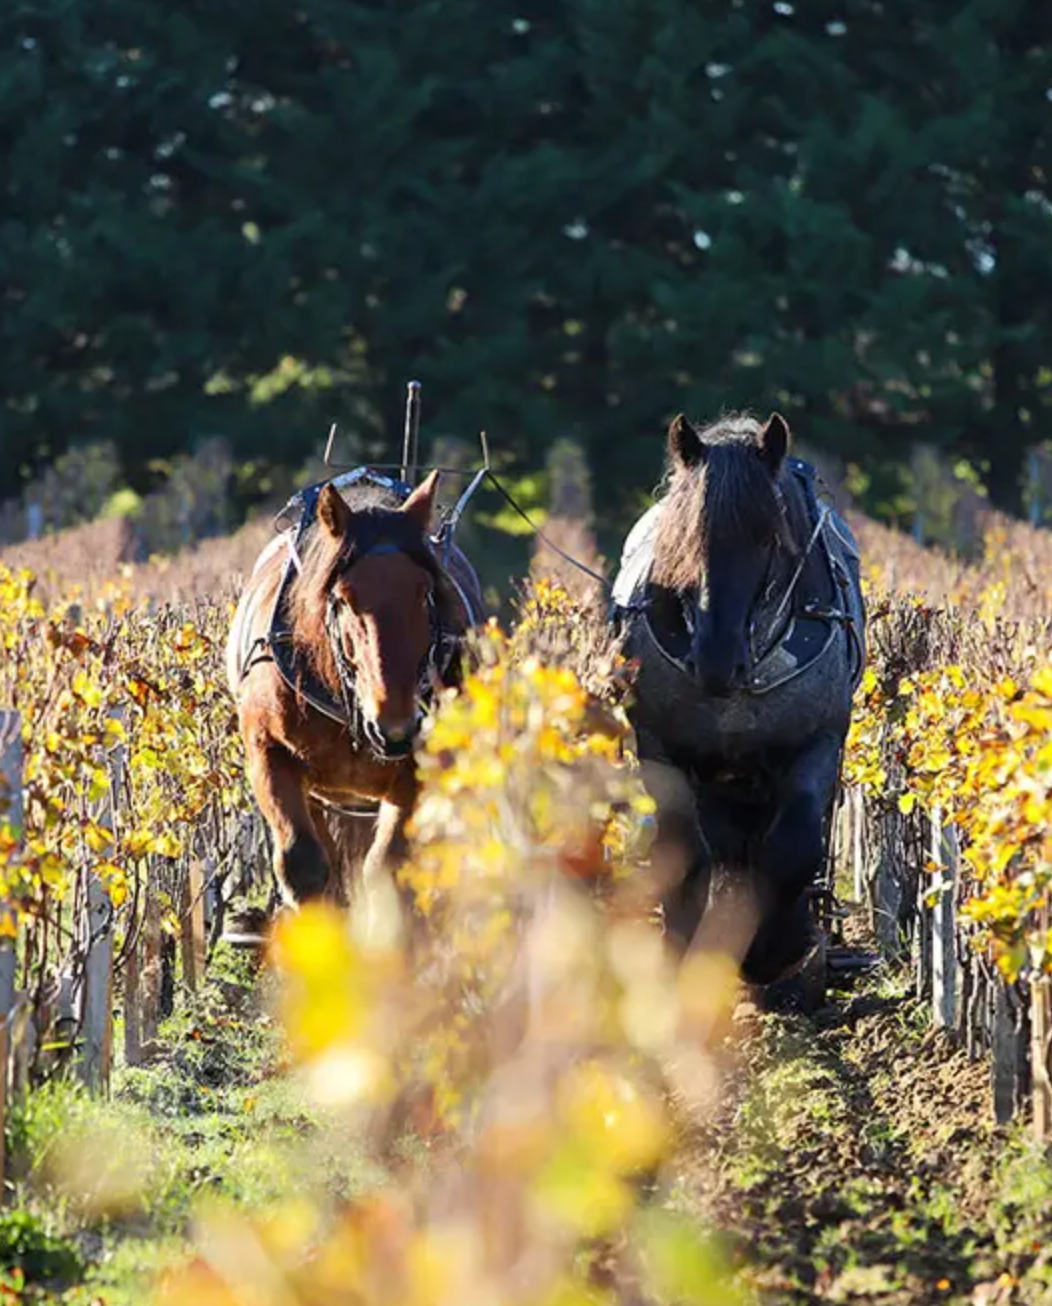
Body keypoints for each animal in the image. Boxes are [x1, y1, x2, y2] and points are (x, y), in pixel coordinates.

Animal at [228, 472, 482, 919]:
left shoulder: (418, 764)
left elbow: (389, 869)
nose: (394, 727)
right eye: (344, 599)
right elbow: (303, 863)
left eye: (424, 593)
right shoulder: (267, 750)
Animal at [613, 412, 866, 1003]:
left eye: (767, 537)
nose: (715, 658)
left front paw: (775, 951)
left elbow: (793, 846)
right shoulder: (659, 745)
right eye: (682, 536)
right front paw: (685, 944)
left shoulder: (818, 741)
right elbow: (685, 847)